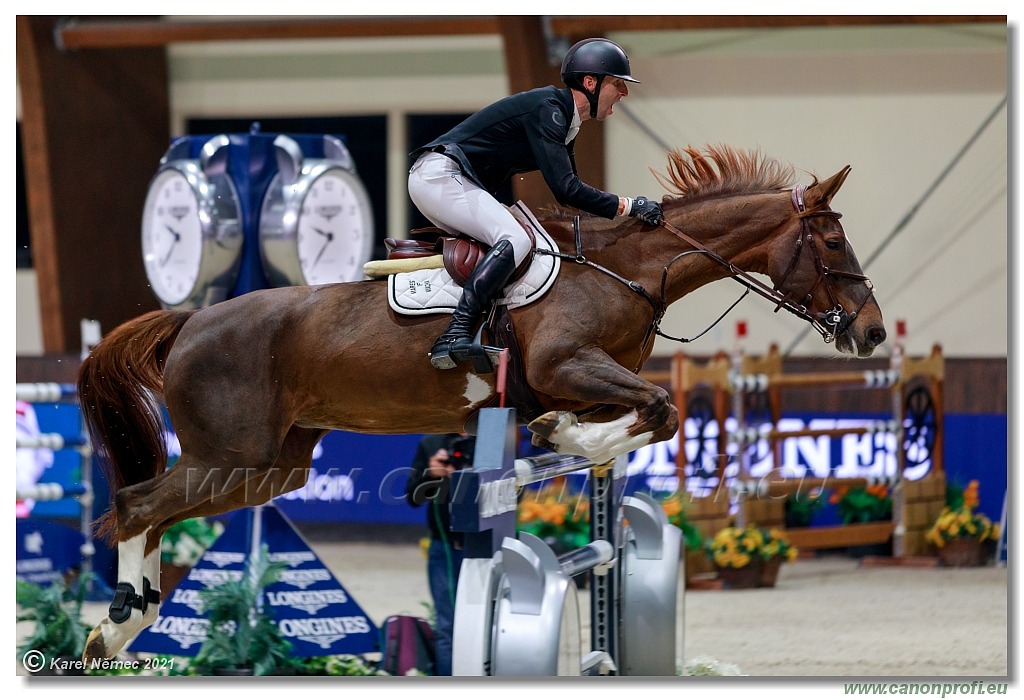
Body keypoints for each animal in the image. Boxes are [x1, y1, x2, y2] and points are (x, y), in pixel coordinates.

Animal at [75, 146, 884, 663]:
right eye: (831, 240)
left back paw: (126, 621)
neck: (626, 269)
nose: (873, 331)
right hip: (231, 454)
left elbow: (647, 416)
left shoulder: (583, 378)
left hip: (271, 466)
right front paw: (566, 435)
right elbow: (660, 407)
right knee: (140, 503)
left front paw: (570, 434)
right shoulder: (567, 365)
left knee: (156, 510)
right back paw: (115, 626)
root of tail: (189, 321)